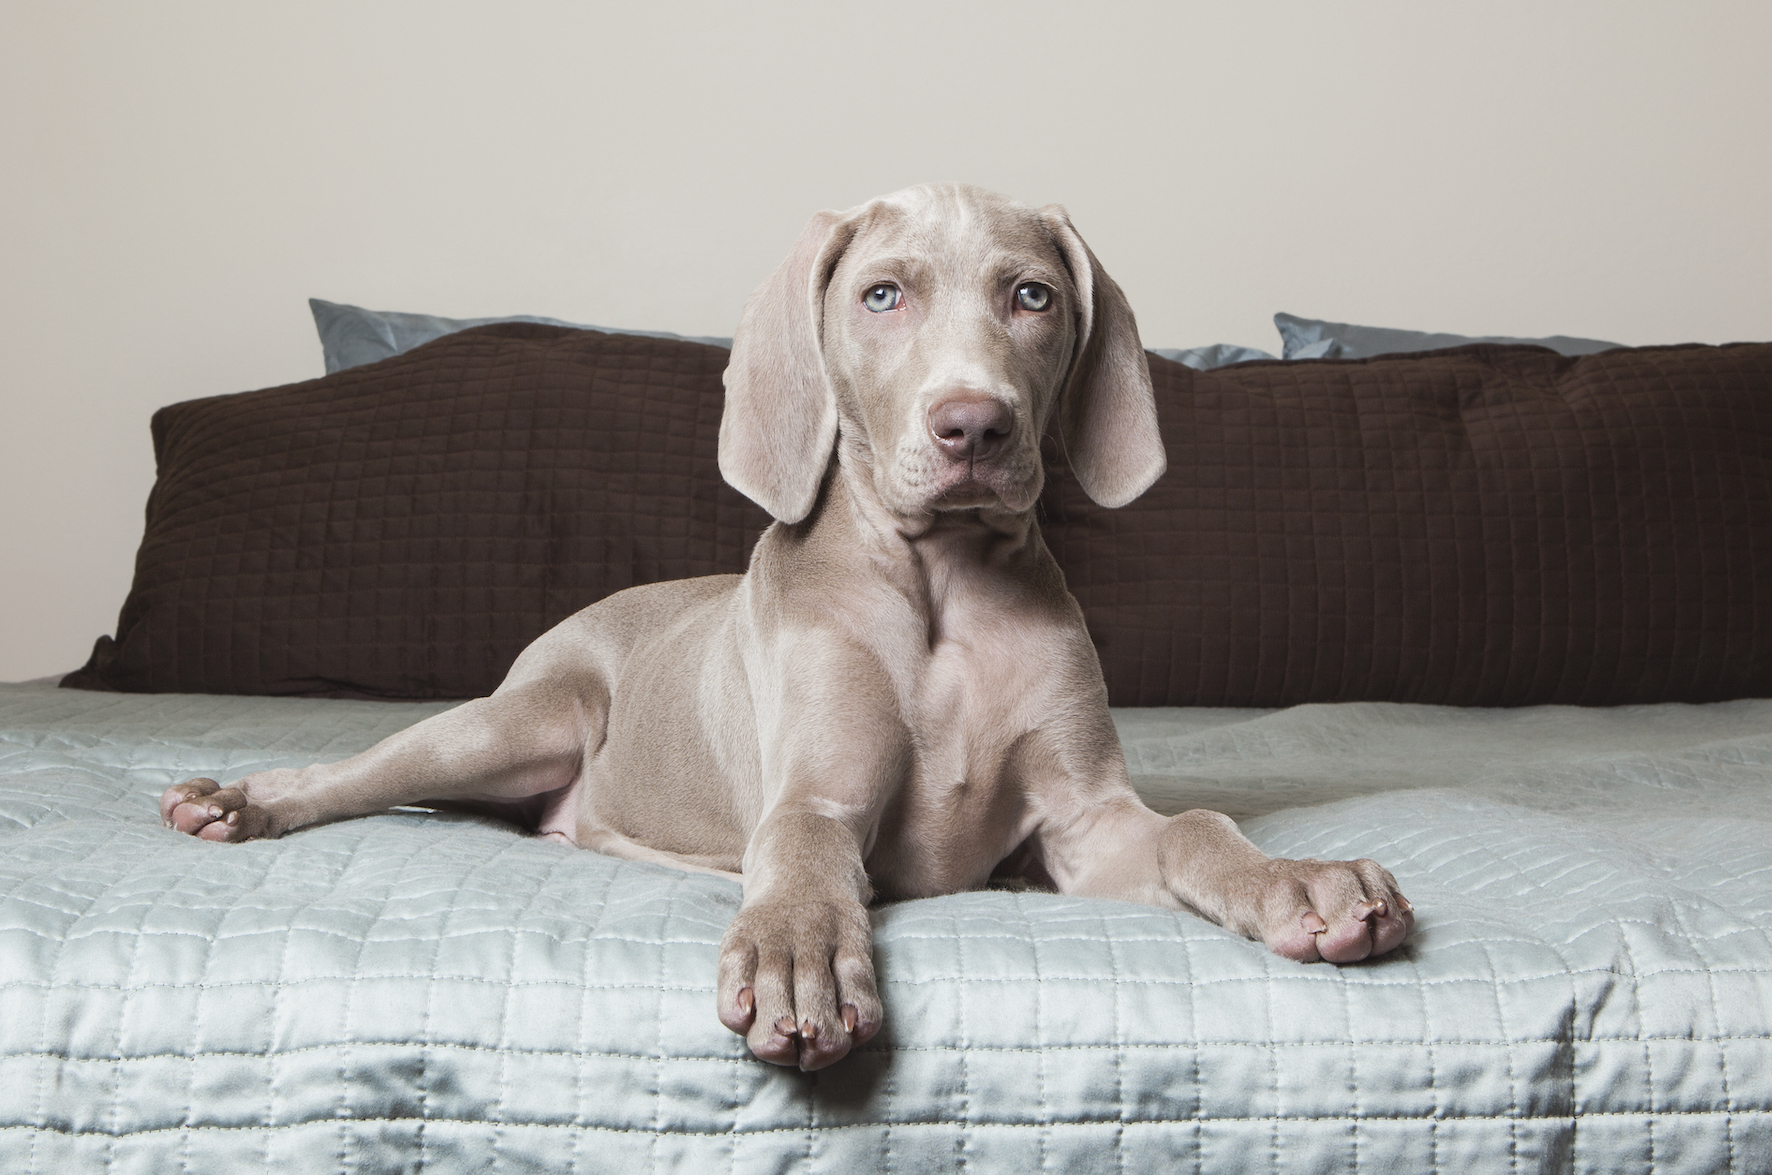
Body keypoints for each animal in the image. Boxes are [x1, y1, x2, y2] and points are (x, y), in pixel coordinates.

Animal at [163, 181, 1410, 1063]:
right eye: (881, 295)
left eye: (1031, 296)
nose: (974, 427)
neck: (940, 589)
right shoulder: (815, 793)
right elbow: (804, 855)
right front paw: (800, 958)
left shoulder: (1083, 822)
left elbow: (1194, 824)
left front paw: (1296, 883)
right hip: (517, 718)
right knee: (362, 770)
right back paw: (241, 799)